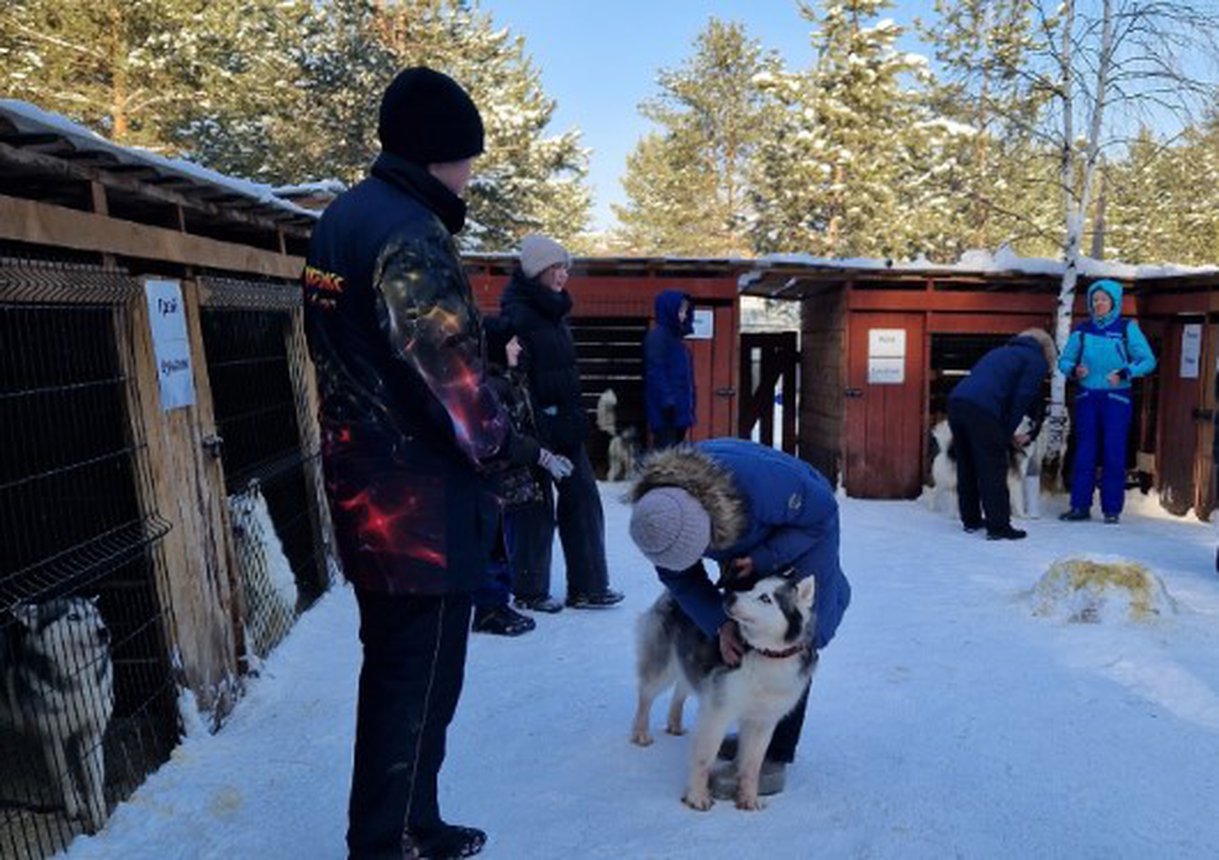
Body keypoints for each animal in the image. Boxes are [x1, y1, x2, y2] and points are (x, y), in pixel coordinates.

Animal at [1, 592, 114, 829]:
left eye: (96, 615)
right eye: (72, 617)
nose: (103, 631)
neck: (79, 678)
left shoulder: (91, 732)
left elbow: (94, 781)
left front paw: (101, 820)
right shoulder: (51, 737)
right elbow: (64, 776)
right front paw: (74, 807)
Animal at [629, 573, 819, 809]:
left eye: (766, 598)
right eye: (752, 588)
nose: (729, 596)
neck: (766, 654)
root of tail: (670, 595)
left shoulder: (762, 721)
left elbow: (752, 765)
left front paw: (748, 799)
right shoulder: (717, 712)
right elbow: (704, 758)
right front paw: (697, 797)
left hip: (692, 665)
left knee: (680, 691)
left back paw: (674, 724)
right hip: (663, 667)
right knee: (646, 695)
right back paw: (641, 733)